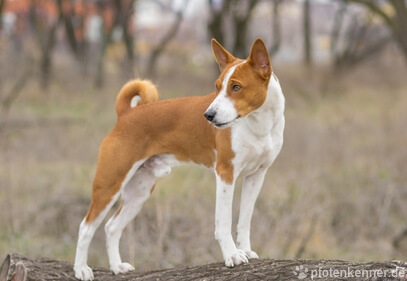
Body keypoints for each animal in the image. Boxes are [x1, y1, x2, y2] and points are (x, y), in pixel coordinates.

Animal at [73, 38, 286, 278]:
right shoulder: (225, 173)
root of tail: (126, 114)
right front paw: (232, 255)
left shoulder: (256, 176)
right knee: (86, 227)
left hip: (139, 191)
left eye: (236, 87)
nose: (208, 115)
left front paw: (246, 250)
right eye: (217, 87)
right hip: (110, 184)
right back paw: (81, 269)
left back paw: (117, 266)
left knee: (112, 227)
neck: (259, 125)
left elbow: (244, 221)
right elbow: (223, 222)